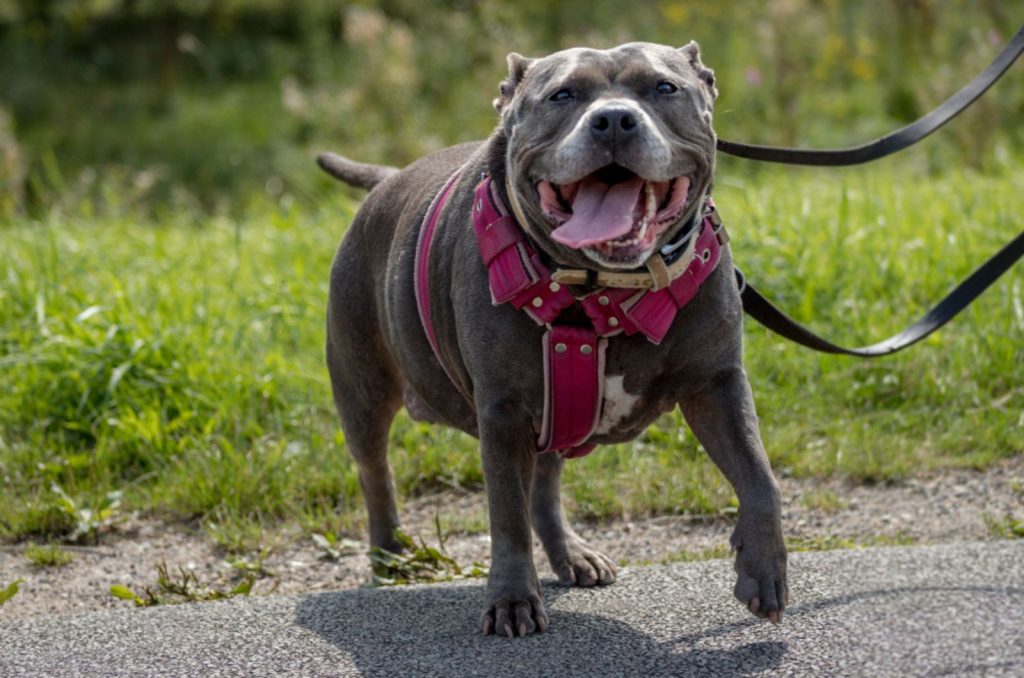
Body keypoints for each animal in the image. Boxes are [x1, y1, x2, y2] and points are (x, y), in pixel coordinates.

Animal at [323, 41, 786, 639]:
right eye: (562, 95)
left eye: (664, 87)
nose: (614, 119)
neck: (605, 286)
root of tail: (388, 180)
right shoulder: (503, 412)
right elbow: (506, 514)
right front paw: (512, 598)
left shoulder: (717, 384)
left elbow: (759, 476)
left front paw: (763, 567)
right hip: (363, 388)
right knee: (375, 470)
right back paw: (388, 554)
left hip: (555, 412)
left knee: (544, 485)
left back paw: (571, 554)